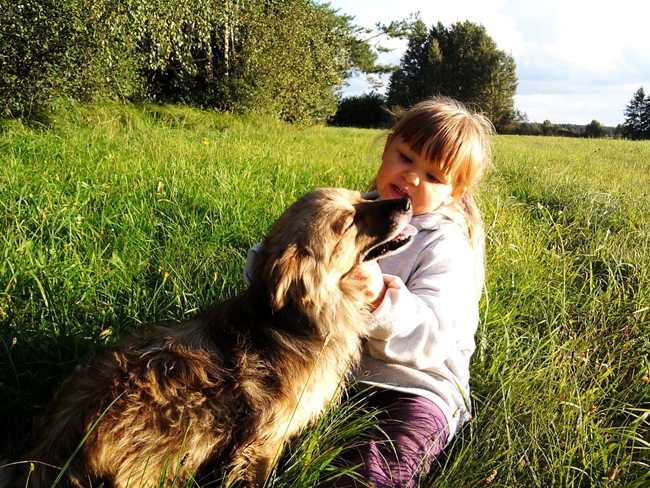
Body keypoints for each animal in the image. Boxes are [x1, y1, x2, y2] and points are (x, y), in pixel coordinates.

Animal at [15, 188, 412, 488]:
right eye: (348, 222)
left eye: (362, 196)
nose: (406, 201)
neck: (293, 321)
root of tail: (46, 461)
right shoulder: (262, 442)